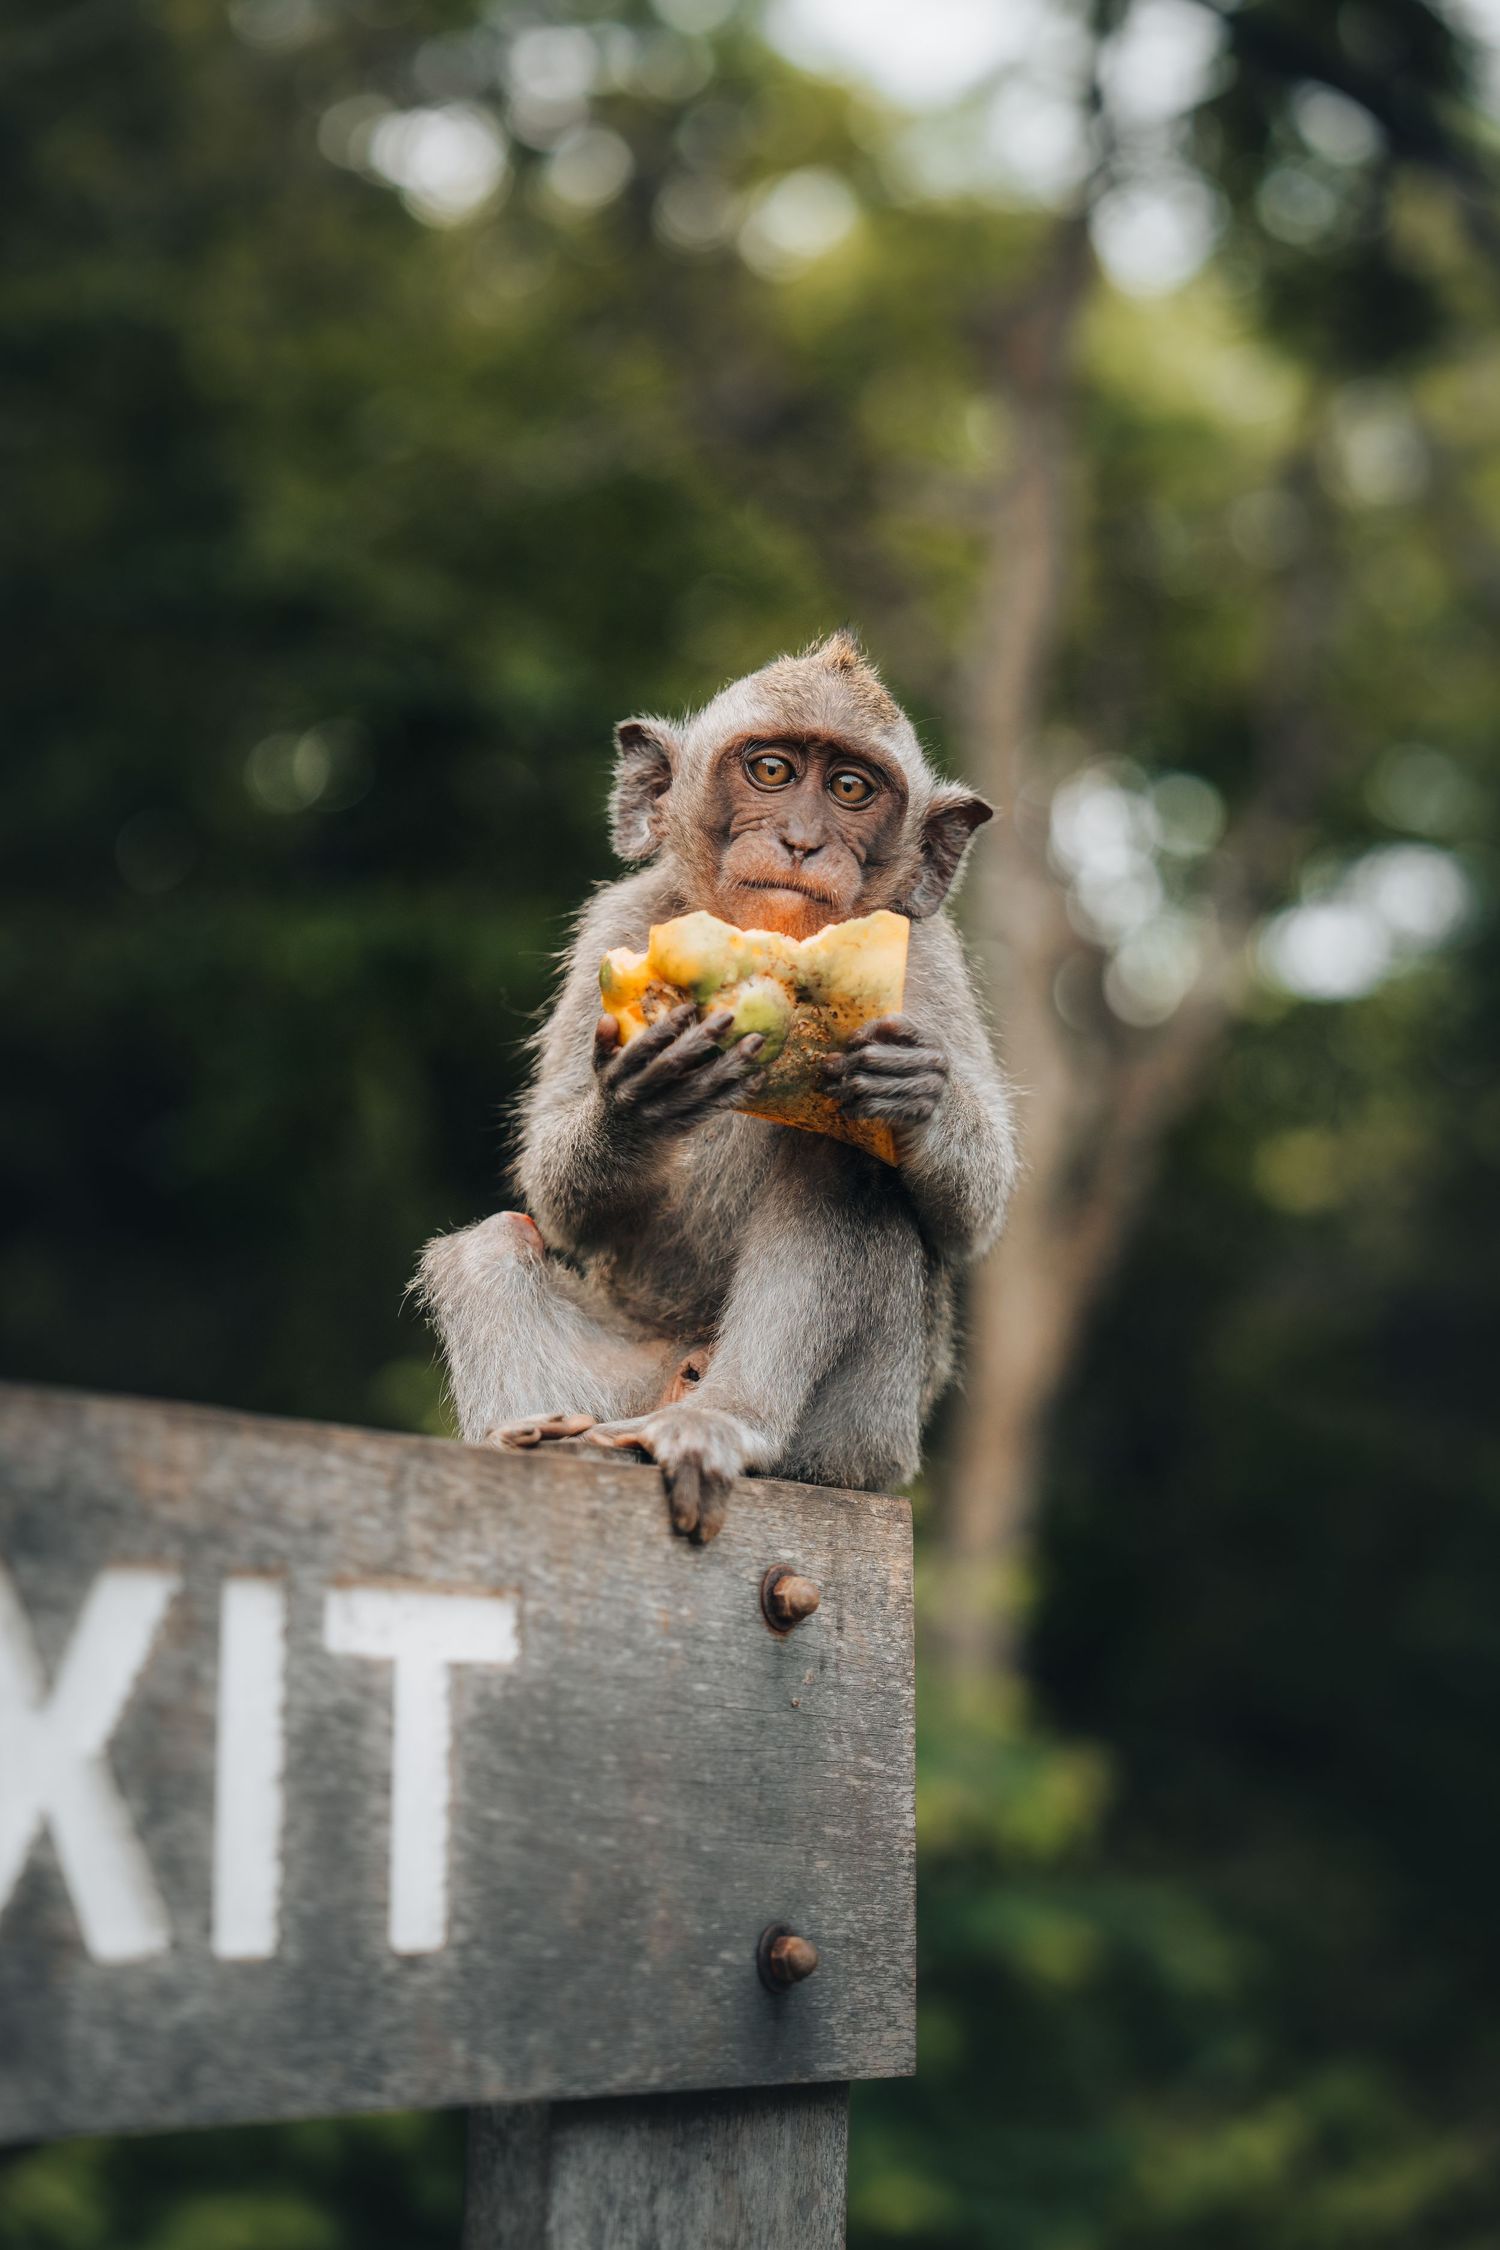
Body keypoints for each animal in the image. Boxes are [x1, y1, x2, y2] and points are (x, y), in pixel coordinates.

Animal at [416, 631, 1018, 1542]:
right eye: (771, 771)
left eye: (850, 789)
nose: (802, 841)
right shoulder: (620, 922)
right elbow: (559, 1195)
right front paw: (633, 1108)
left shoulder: (927, 957)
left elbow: (974, 1215)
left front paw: (921, 1096)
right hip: (616, 1382)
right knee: (493, 1245)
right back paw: (535, 1436)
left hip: (862, 1440)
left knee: (846, 1174)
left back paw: (724, 1420)